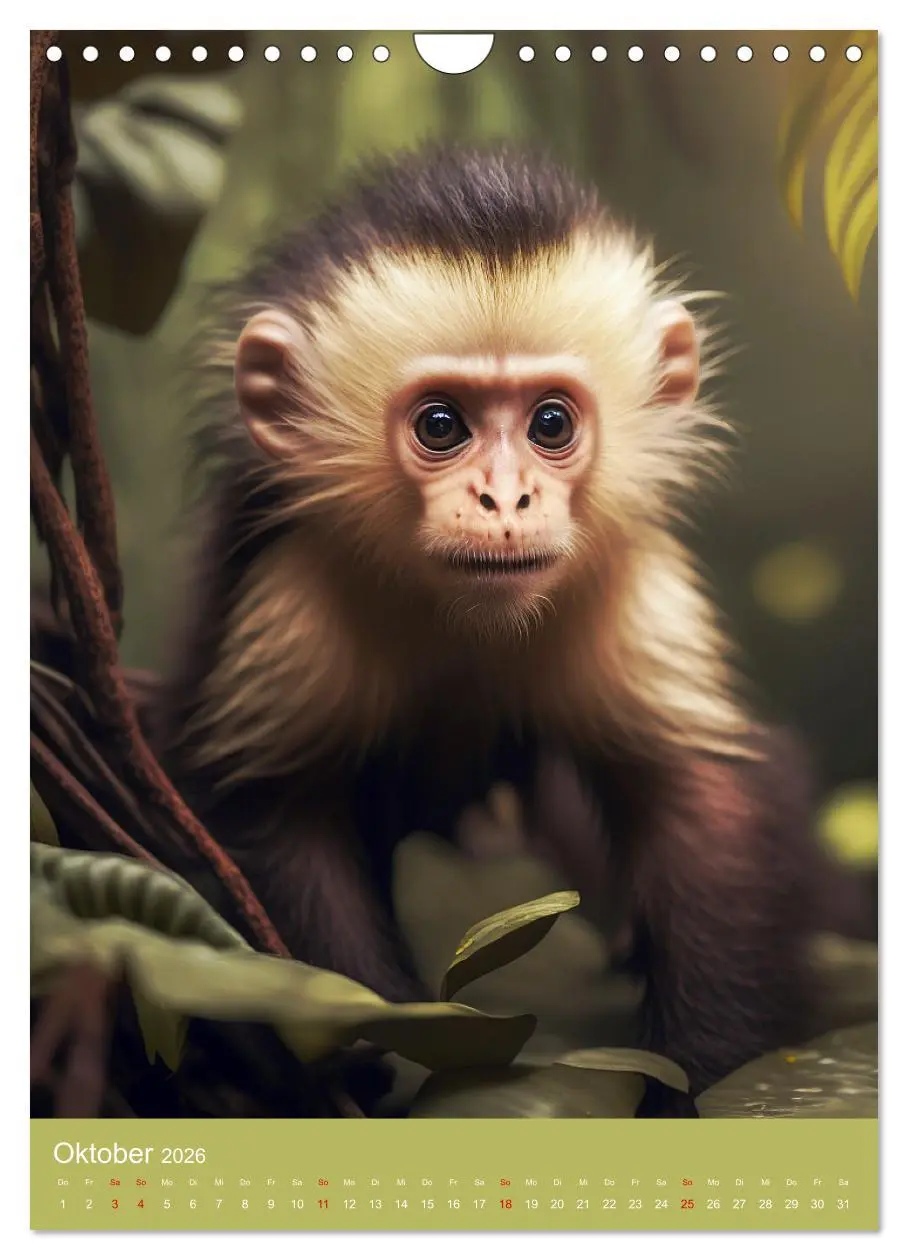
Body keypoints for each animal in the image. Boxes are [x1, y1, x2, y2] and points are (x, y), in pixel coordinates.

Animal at [154, 144, 849, 1114]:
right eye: (441, 425)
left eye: (550, 422)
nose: (506, 499)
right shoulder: (294, 590)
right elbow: (267, 812)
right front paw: (385, 1060)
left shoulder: (628, 575)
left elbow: (700, 797)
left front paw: (697, 1084)